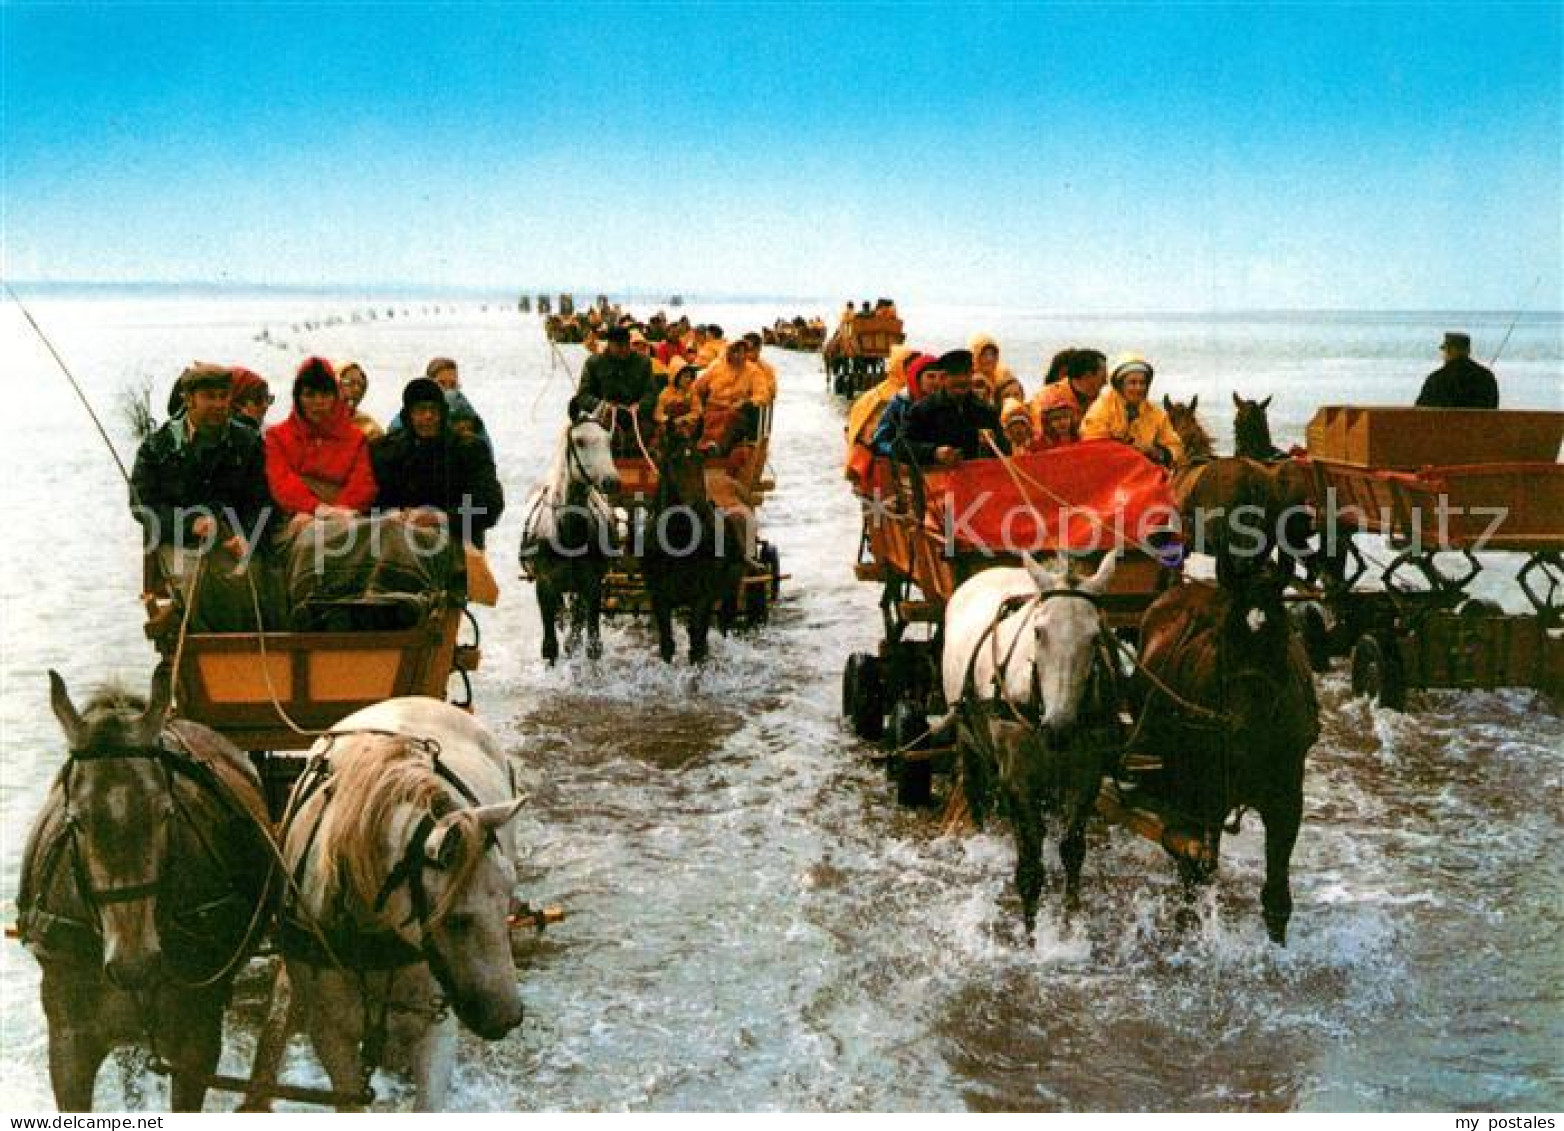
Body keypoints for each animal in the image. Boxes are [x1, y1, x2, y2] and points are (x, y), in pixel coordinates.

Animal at [525, 412, 622, 663]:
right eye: (579, 441)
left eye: (609, 440)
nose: (612, 481)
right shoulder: (544, 585)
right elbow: (550, 645)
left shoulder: (592, 585)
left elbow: (592, 644)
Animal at [932, 550, 1119, 938]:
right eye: (1038, 631)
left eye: (1095, 637)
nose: (1058, 728)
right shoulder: (1018, 778)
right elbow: (1030, 867)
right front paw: (1031, 936)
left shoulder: (1087, 775)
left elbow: (1072, 850)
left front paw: (1068, 925)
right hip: (966, 733)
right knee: (974, 788)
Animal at [1132, 575, 1313, 944]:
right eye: (1227, 643)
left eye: (1281, 639)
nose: (1247, 736)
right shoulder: (1197, 800)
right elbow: (1193, 869)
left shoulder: (1287, 799)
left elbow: (1276, 896)